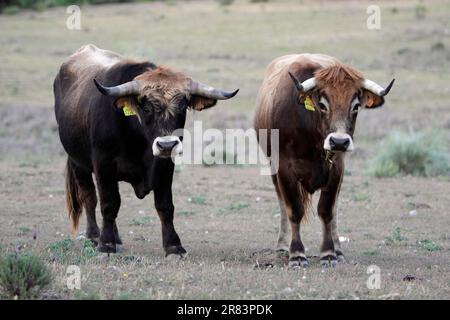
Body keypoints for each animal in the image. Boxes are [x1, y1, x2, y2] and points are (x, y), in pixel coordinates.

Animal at [54, 44, 237, 255]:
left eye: (183, 107)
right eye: (147, 107)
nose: (167, 145)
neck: (138, 140)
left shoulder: (165, 166)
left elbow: (165, 206)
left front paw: (173, 246)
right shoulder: (103, 164)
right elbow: (109, 203)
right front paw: (106, 244)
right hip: (78, 163)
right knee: (89, 196)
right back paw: (94, 235)